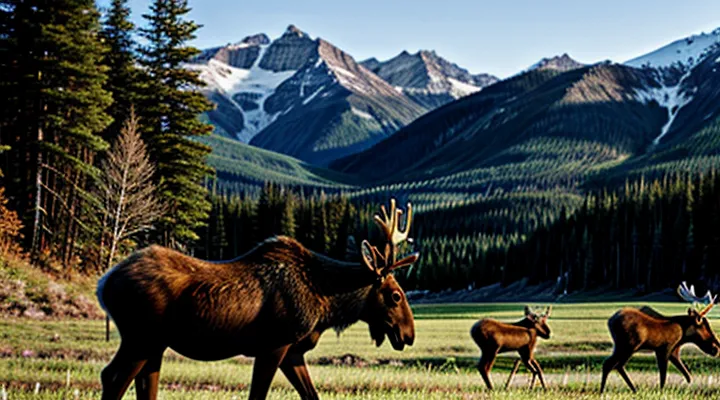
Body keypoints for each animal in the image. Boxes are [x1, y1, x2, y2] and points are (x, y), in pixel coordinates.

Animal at [96, 199, 419, 400]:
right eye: (395, 295)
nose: (409, 334)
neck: (325, 306)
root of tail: (103, 284)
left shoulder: (293, 351)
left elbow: (311, 395)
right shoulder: (274, 344)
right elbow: (257, 395)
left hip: (154, 345)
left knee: (142, 384)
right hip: (141, 338)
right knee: (112, 377)